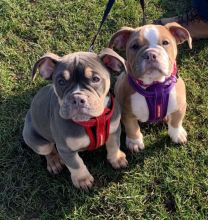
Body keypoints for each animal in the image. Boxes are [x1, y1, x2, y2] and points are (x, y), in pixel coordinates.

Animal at [108, 22, 193, 153]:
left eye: (165, 43)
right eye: (135, 46)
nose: (150, 54)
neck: (155, 86)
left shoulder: (180, 105)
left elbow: (176, 120)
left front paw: (177, 134)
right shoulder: (127, 111)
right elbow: (132, 127)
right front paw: (135, 142)